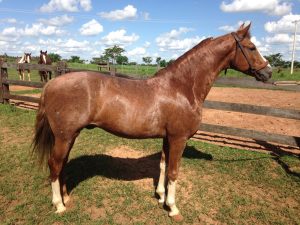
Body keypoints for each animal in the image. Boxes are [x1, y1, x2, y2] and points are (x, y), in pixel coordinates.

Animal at [32, 23, 272, 221]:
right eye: (251, 47)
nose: (268, 73)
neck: (182, 88)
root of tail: (51, 84)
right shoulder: (178, 138)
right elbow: (174, 172)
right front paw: (173, 209)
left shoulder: (168, 138)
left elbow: (163, 165)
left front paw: (161, 197)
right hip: (64, 136)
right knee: (54, 164)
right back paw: (59, 205)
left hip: (69, 136)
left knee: (61, 164)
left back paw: (66, 198)